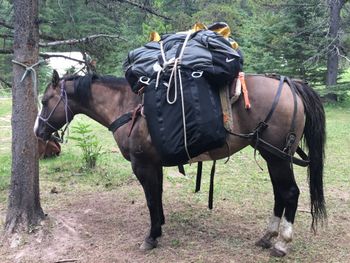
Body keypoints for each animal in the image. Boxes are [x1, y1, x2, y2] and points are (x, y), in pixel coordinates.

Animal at [34, 70, 326, 258]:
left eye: (45, 101)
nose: (38, 131)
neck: (129, 108)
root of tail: (290, 84)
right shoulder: (153, 165)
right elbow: (157, 196)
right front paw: (160, 226)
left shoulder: (142, 165)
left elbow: (151, 199)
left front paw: (151, 237)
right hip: (271, 155)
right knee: (279, 193)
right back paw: (267, 237)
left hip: (277, 156)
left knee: (290, 193)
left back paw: (282, 244)